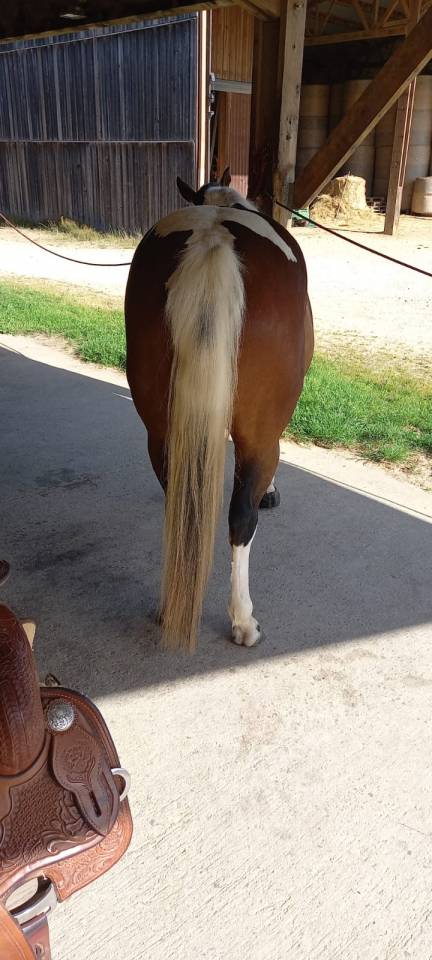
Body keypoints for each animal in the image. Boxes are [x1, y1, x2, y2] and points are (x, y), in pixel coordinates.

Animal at [125, 169, 314, 652]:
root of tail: (213, 239)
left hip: (161, 433)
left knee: (180, 507)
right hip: (260, 437)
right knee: (241, 517)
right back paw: (243, 620)